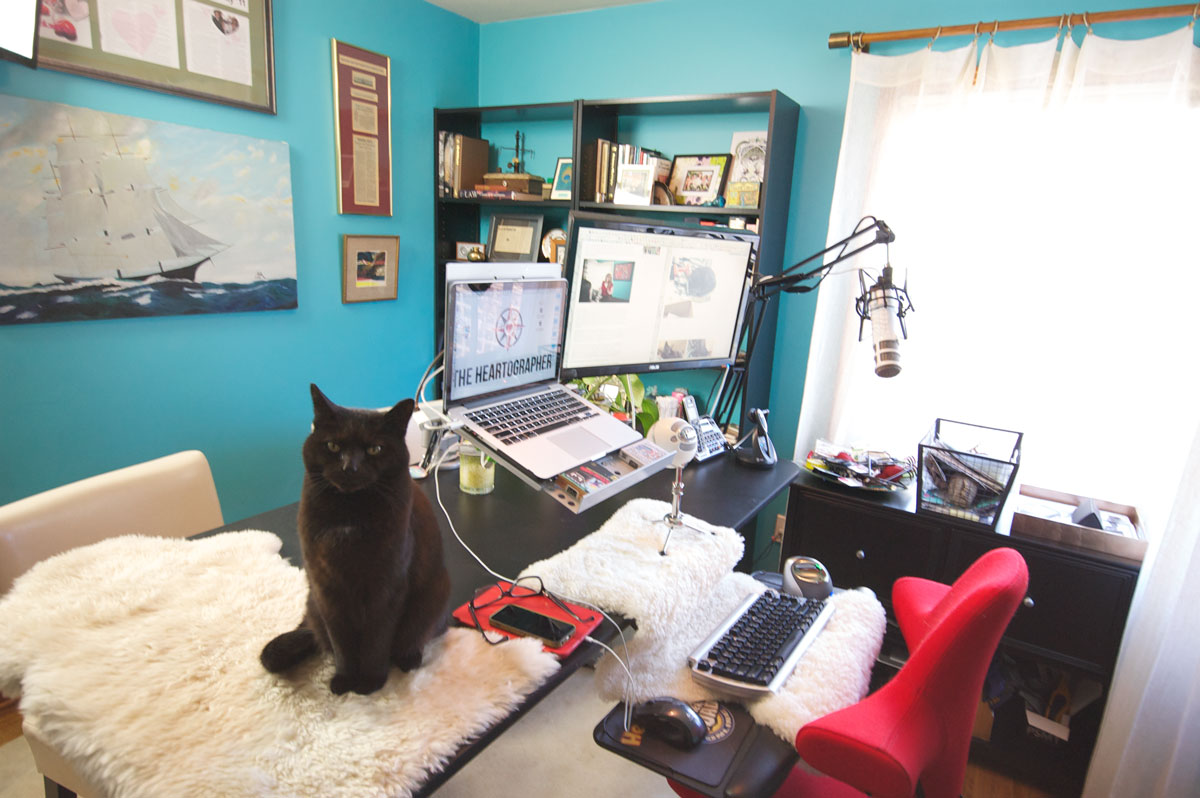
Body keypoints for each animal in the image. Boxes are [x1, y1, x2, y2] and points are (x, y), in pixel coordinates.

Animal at [260, 384, 451, 691]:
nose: (350, 467)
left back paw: (409, 659)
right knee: (318, 637)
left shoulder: (385, 588)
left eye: (375, 449)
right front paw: (345, 680)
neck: (349, 514)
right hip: (313, 602)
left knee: (417, 635)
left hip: (435, 595)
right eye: (333, 446)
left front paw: (370, 684)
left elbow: (376, 641)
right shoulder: (327, 588)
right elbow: (341, 643)